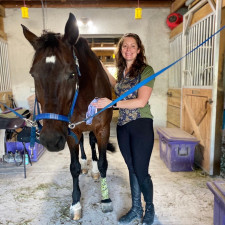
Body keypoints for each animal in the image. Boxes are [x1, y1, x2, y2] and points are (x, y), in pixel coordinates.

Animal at [22, 12, 113, 220]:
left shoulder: (103, 129)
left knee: (92, 143)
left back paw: (93, 169)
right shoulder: (71, 131)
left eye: (71, 74)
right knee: (83, 145)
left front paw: (105, 199)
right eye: (33, 74)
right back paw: (86, 164)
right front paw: (76, 204)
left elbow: (103, 162)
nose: (50, 139)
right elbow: (74, 168)